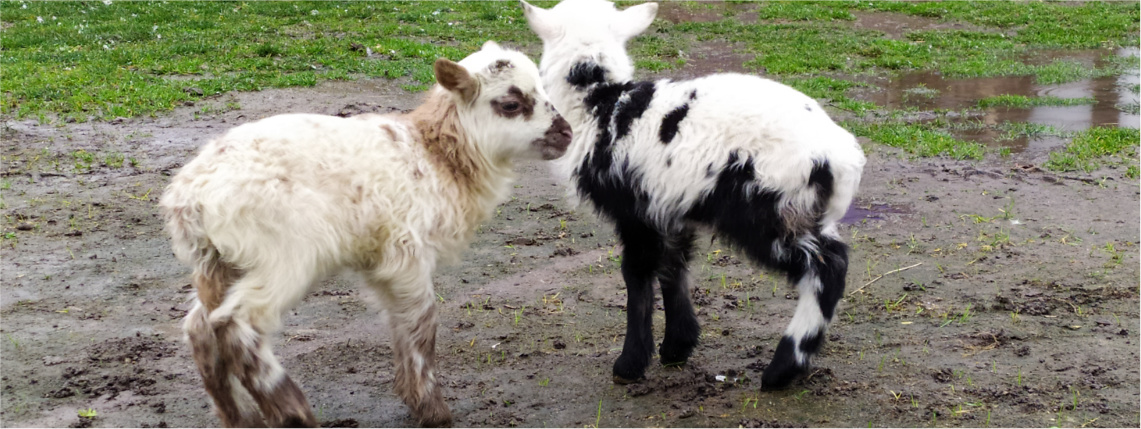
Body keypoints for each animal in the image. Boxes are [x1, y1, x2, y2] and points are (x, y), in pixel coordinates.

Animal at [160, 41, 570, 429]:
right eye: (512, 104)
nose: (566, 133)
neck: (435, 156)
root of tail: (189, 197)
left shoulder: (384, 261)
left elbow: (402, 323)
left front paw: (413, 397)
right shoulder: (407, 251)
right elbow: (423, 323)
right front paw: (433, 410)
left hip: (219, 261)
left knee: (201, 328)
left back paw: (238, 417)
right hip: (284, 253)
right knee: (236, 322)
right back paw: (292, 411)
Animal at [520, 0, 862, 387]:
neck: (599, 102)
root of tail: (840, 157)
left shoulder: (635, 210)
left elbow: (636, 273)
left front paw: (630, 364)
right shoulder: (668, 204)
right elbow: (674, 267)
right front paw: (677, 348)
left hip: (766, 206)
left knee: (828, 266)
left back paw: (783, 368)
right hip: (803, 209)